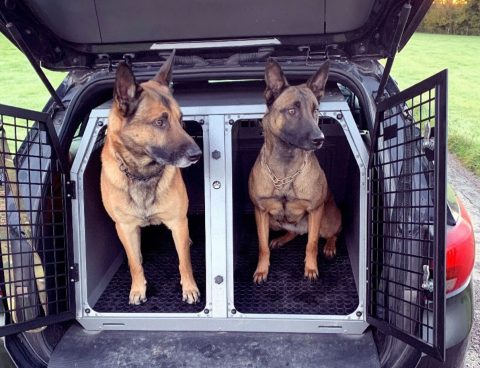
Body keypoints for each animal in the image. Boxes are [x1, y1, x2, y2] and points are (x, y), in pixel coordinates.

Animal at [100, 51, 202, 304]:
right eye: (160, 122)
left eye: (181, 120)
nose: (197, 155)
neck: (142, 174)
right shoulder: (125, 227)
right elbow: (135, 263)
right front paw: (138, 289)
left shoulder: (177, 222)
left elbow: (184, 262)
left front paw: (189, 288)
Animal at [249, 59, 344, 284]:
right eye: (292, 110)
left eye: (315, 110)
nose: (320, 139)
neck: (285, 169)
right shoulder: (261, 212)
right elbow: (262, 246)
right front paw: (262, 269)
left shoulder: (315, 211)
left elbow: (311, 244)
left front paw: (310, 268)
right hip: (275, 222)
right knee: (293, 233)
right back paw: (281, 239)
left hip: (326, 220)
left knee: (331, 234)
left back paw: (329, 247)